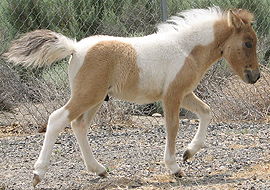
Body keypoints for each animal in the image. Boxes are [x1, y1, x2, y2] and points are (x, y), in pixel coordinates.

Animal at [4, 7, 260, 186]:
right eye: (248, 43)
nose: (255, 76)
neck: (186, 49)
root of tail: (75, 48)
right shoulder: (172, 95)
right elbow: (173, 126)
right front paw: (175, 167)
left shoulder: (184, 93)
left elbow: (206, 112)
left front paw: (189, 153)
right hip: (87, 95)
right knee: (57, 119)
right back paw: (38, 173)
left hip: (96, 99)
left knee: (79, 125)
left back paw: (99, 169)